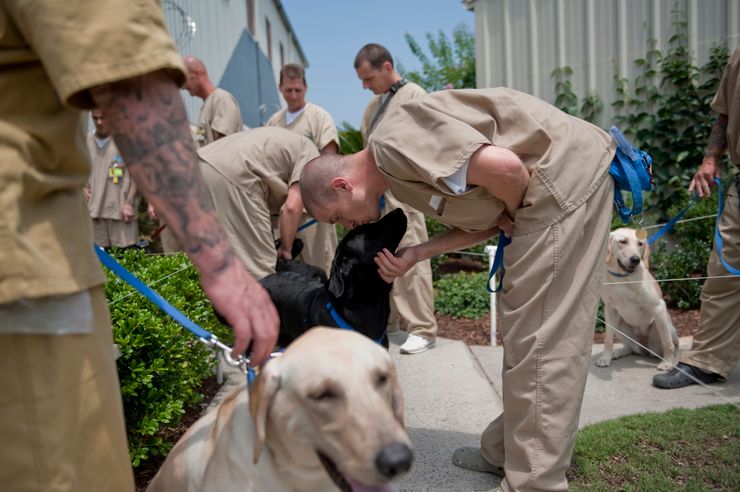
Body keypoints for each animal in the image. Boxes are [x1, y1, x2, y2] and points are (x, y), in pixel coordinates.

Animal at [600, 227, 680, 368]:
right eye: (623, 241)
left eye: (640, 244)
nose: (635, 259)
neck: (622, 279)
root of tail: (644, 347)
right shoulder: (609, 309)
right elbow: (608, 339)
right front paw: (606, 357)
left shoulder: (659, 307)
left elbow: (666, 342)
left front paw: (667, 362)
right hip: (619, 325)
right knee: (630, 349)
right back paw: (618, 352)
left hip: (662, 324)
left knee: (674, 345)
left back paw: (673, 360)